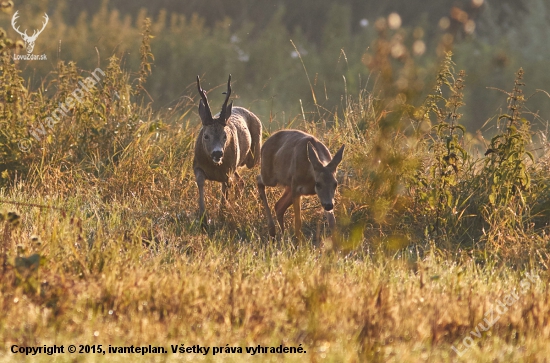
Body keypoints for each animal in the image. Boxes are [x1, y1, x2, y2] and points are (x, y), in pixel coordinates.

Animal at [194, 75, 264, 226]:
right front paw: (203, 217)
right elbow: (201, 182)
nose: (217, 153)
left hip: (252, 157)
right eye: (206, 136)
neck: (214, 167)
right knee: (241, 182)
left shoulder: (227, 172)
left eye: (225, 135)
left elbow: (225, 191)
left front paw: (221, 215)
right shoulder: (197, 165)